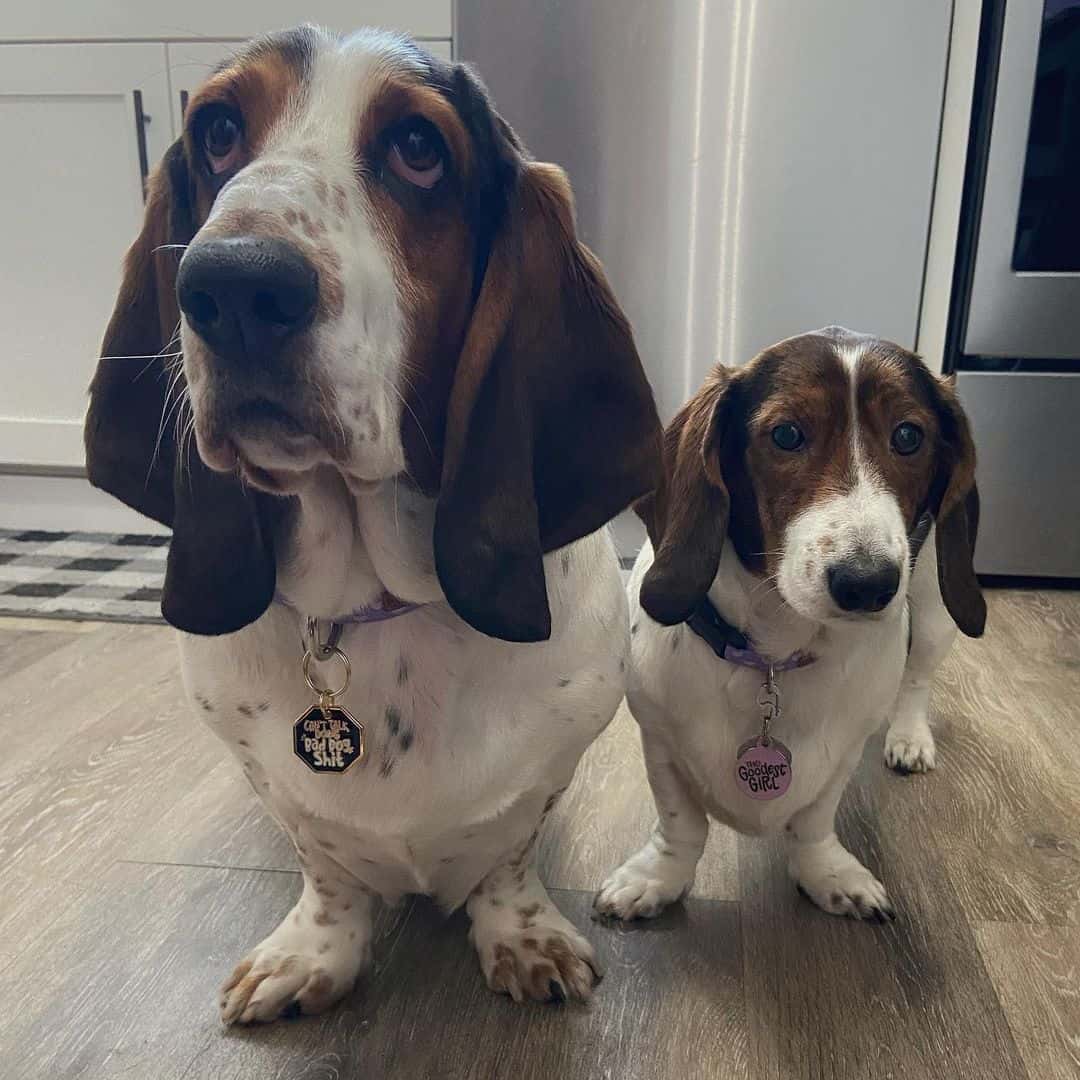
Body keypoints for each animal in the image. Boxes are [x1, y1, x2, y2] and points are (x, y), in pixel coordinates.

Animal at [86, 27, 656, 1019]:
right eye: (217, 130)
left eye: (417, 149)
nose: (234, 286)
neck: (371, 601)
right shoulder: (275, 787)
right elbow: (325, 866)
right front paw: (312, 953)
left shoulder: (550, 768)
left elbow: (509, 856)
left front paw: (524, 938)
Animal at [596, 326, 984, 920]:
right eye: (785, 434)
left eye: (909, 436)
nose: (867, 583)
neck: (775, 655)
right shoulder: (658, 737)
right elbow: (680, 822)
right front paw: (657, 877)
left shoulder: (844, 752)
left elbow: (815, 822)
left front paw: (827, 874)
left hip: (937, 609)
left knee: (917, 678)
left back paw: (910, 738)